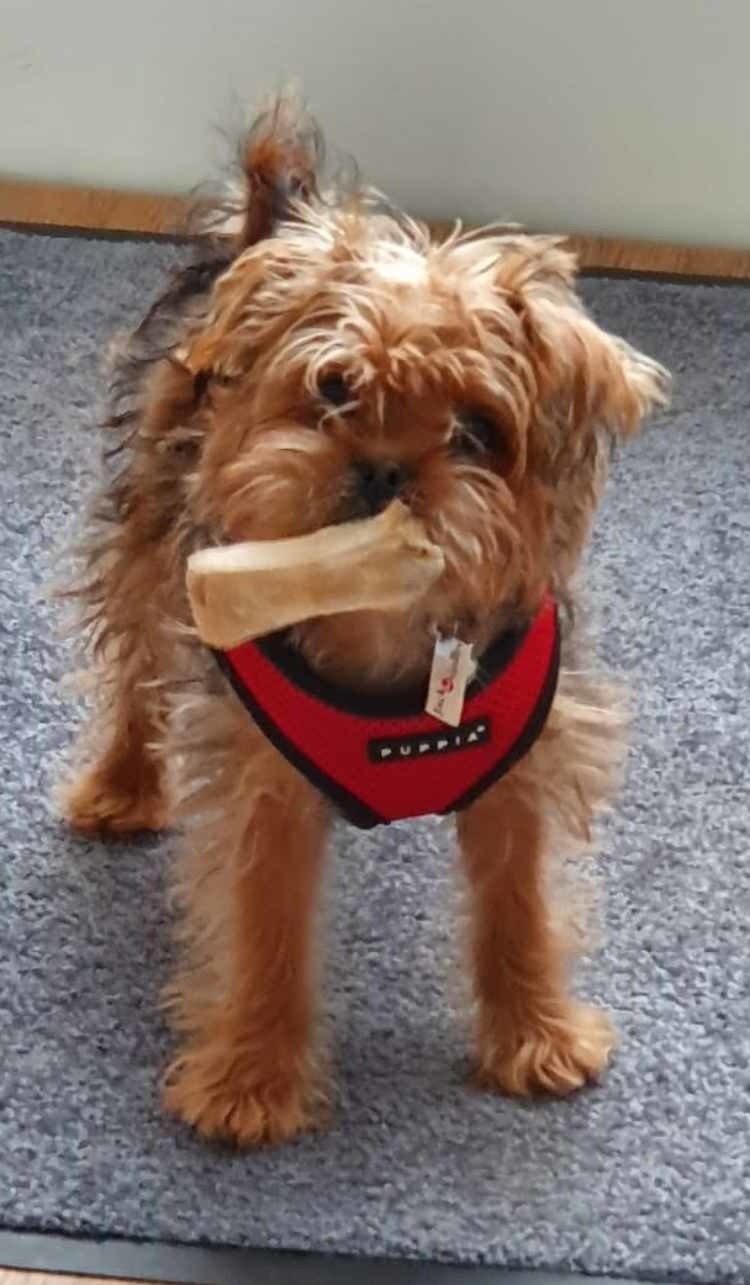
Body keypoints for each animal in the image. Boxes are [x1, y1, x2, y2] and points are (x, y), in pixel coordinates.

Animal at [58, 97, 669, 1146]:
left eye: (476, 432)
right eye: (334, 389)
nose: (385, 466)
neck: (383, 619)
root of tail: (268, 223)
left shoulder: (526, 771)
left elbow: (519, 904)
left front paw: (535, 1032)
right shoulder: (263, 782)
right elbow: (265, 923)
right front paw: (252, 1079)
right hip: (147, 536)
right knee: (135, 668)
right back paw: (121, 783)